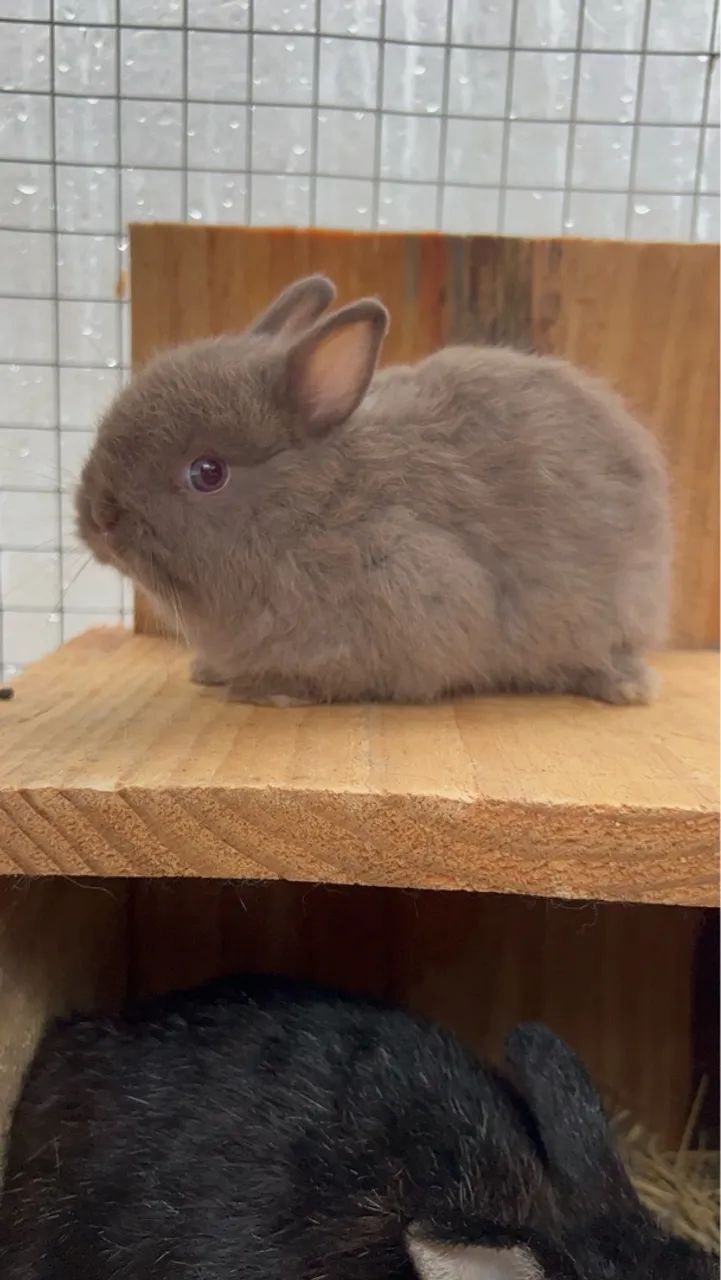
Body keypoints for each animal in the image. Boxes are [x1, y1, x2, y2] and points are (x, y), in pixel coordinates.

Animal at [76, 274, 671, 707]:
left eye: (207, 472)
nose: (98, 520)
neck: (314, 509)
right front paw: (209, 672)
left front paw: (267, 690)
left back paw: (624, 689)